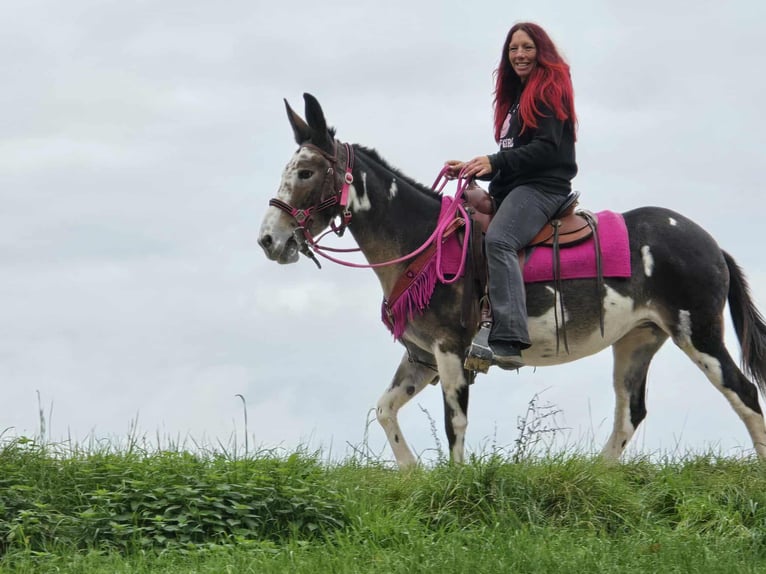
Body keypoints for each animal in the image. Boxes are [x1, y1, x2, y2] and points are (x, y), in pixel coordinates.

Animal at [258, 93, 766, 468]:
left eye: (305, 172)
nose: (268, 240)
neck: (425, 242)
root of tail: (710, 243)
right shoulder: (421, 356)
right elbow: (383, 411)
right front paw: (412, 473)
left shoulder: (450, 350)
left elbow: (455, 423)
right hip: (637, 340)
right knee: (630, 414)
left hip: (698, 333)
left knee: (744, 394)